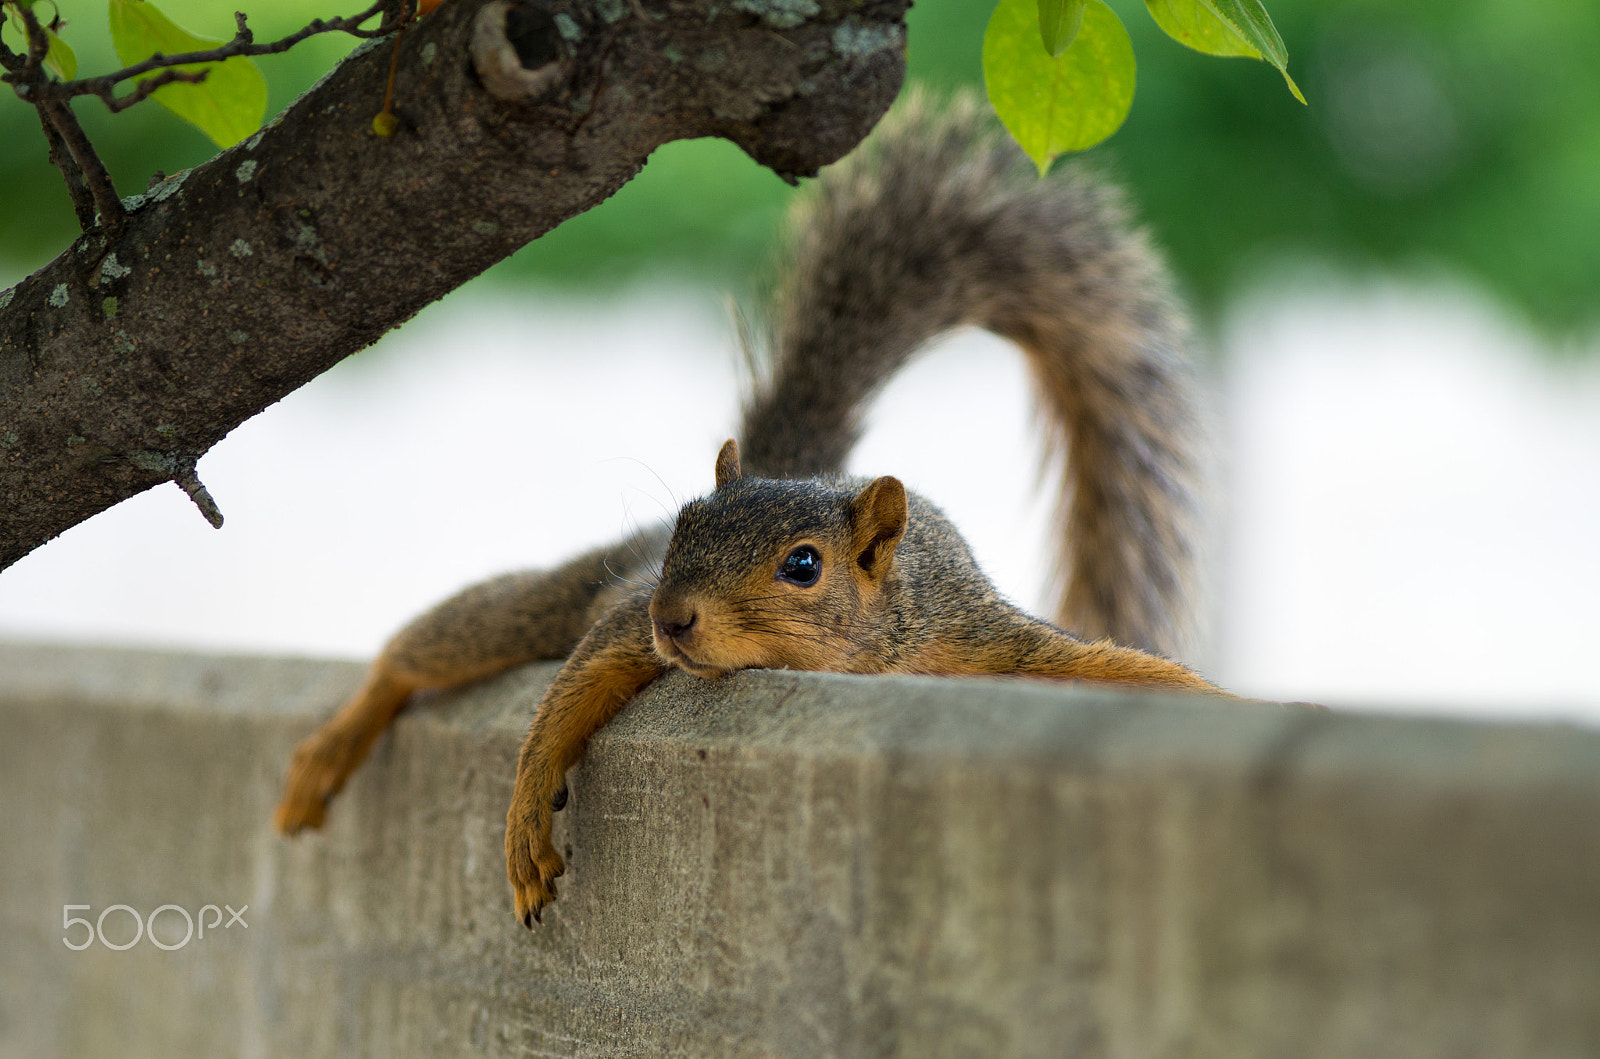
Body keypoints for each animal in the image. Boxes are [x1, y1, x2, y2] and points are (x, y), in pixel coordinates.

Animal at [275, 91, 1222, 927]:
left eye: (804, 564)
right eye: (684, 526)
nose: (673, 616)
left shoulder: (978, 642)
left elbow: (1100, 664)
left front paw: (1201, 694)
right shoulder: (626, 621)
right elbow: (573, 687)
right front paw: (525, 821)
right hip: (551, 596)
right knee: (428, 648)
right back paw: (330, 749)